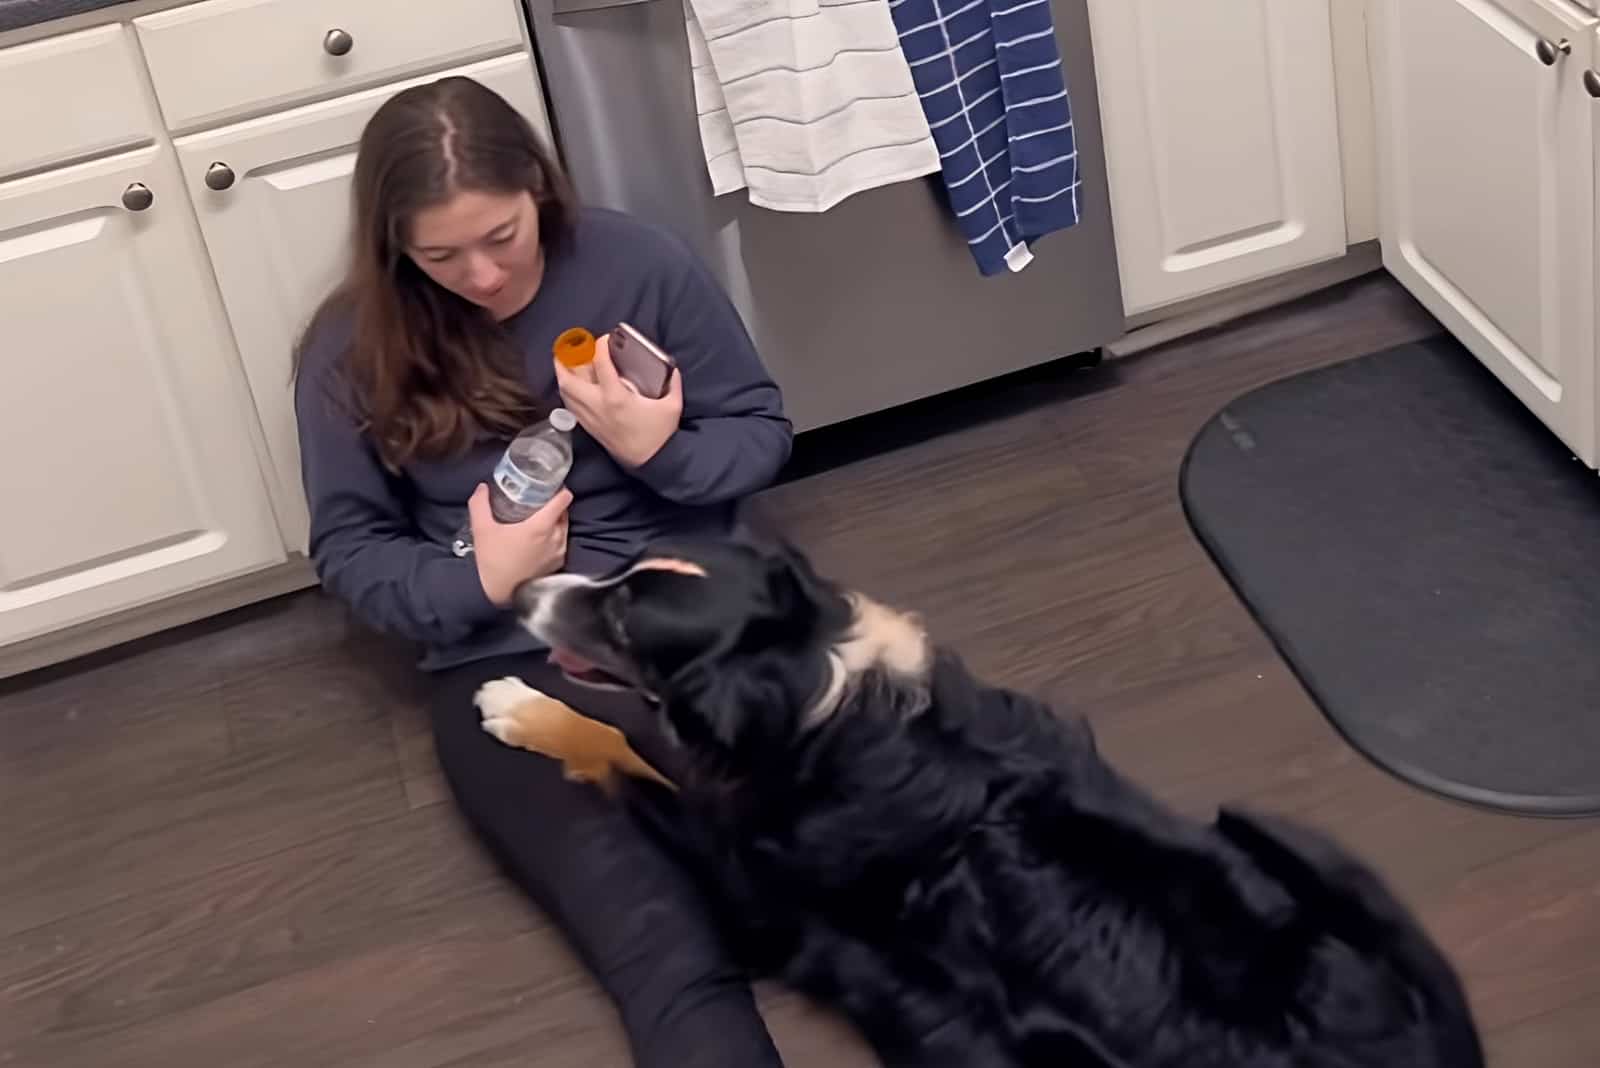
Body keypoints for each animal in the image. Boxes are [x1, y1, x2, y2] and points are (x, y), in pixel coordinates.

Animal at [476, 543, 1484, 1068]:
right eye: (613, 578)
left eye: (620, 621)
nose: (522, 588)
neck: (811, 680)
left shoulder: (752, 889)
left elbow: (621, 751)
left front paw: (524, 707)